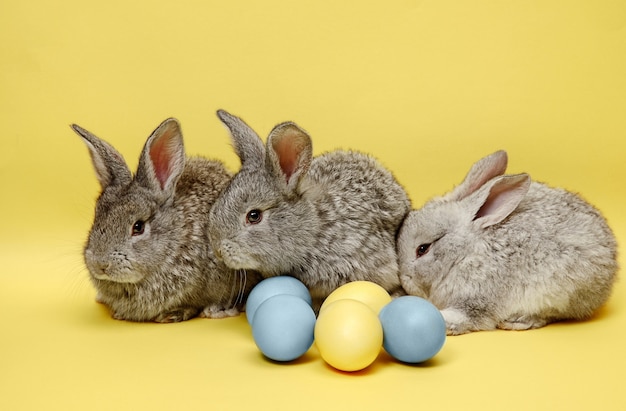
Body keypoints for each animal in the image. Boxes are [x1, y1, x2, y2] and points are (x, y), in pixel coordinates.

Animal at [398, 150, 616, 336]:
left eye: (423, 249)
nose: (403, 278)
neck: (465, 253)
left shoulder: (478, 298)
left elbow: (465, 317)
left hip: (559, 291)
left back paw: (518, 321)